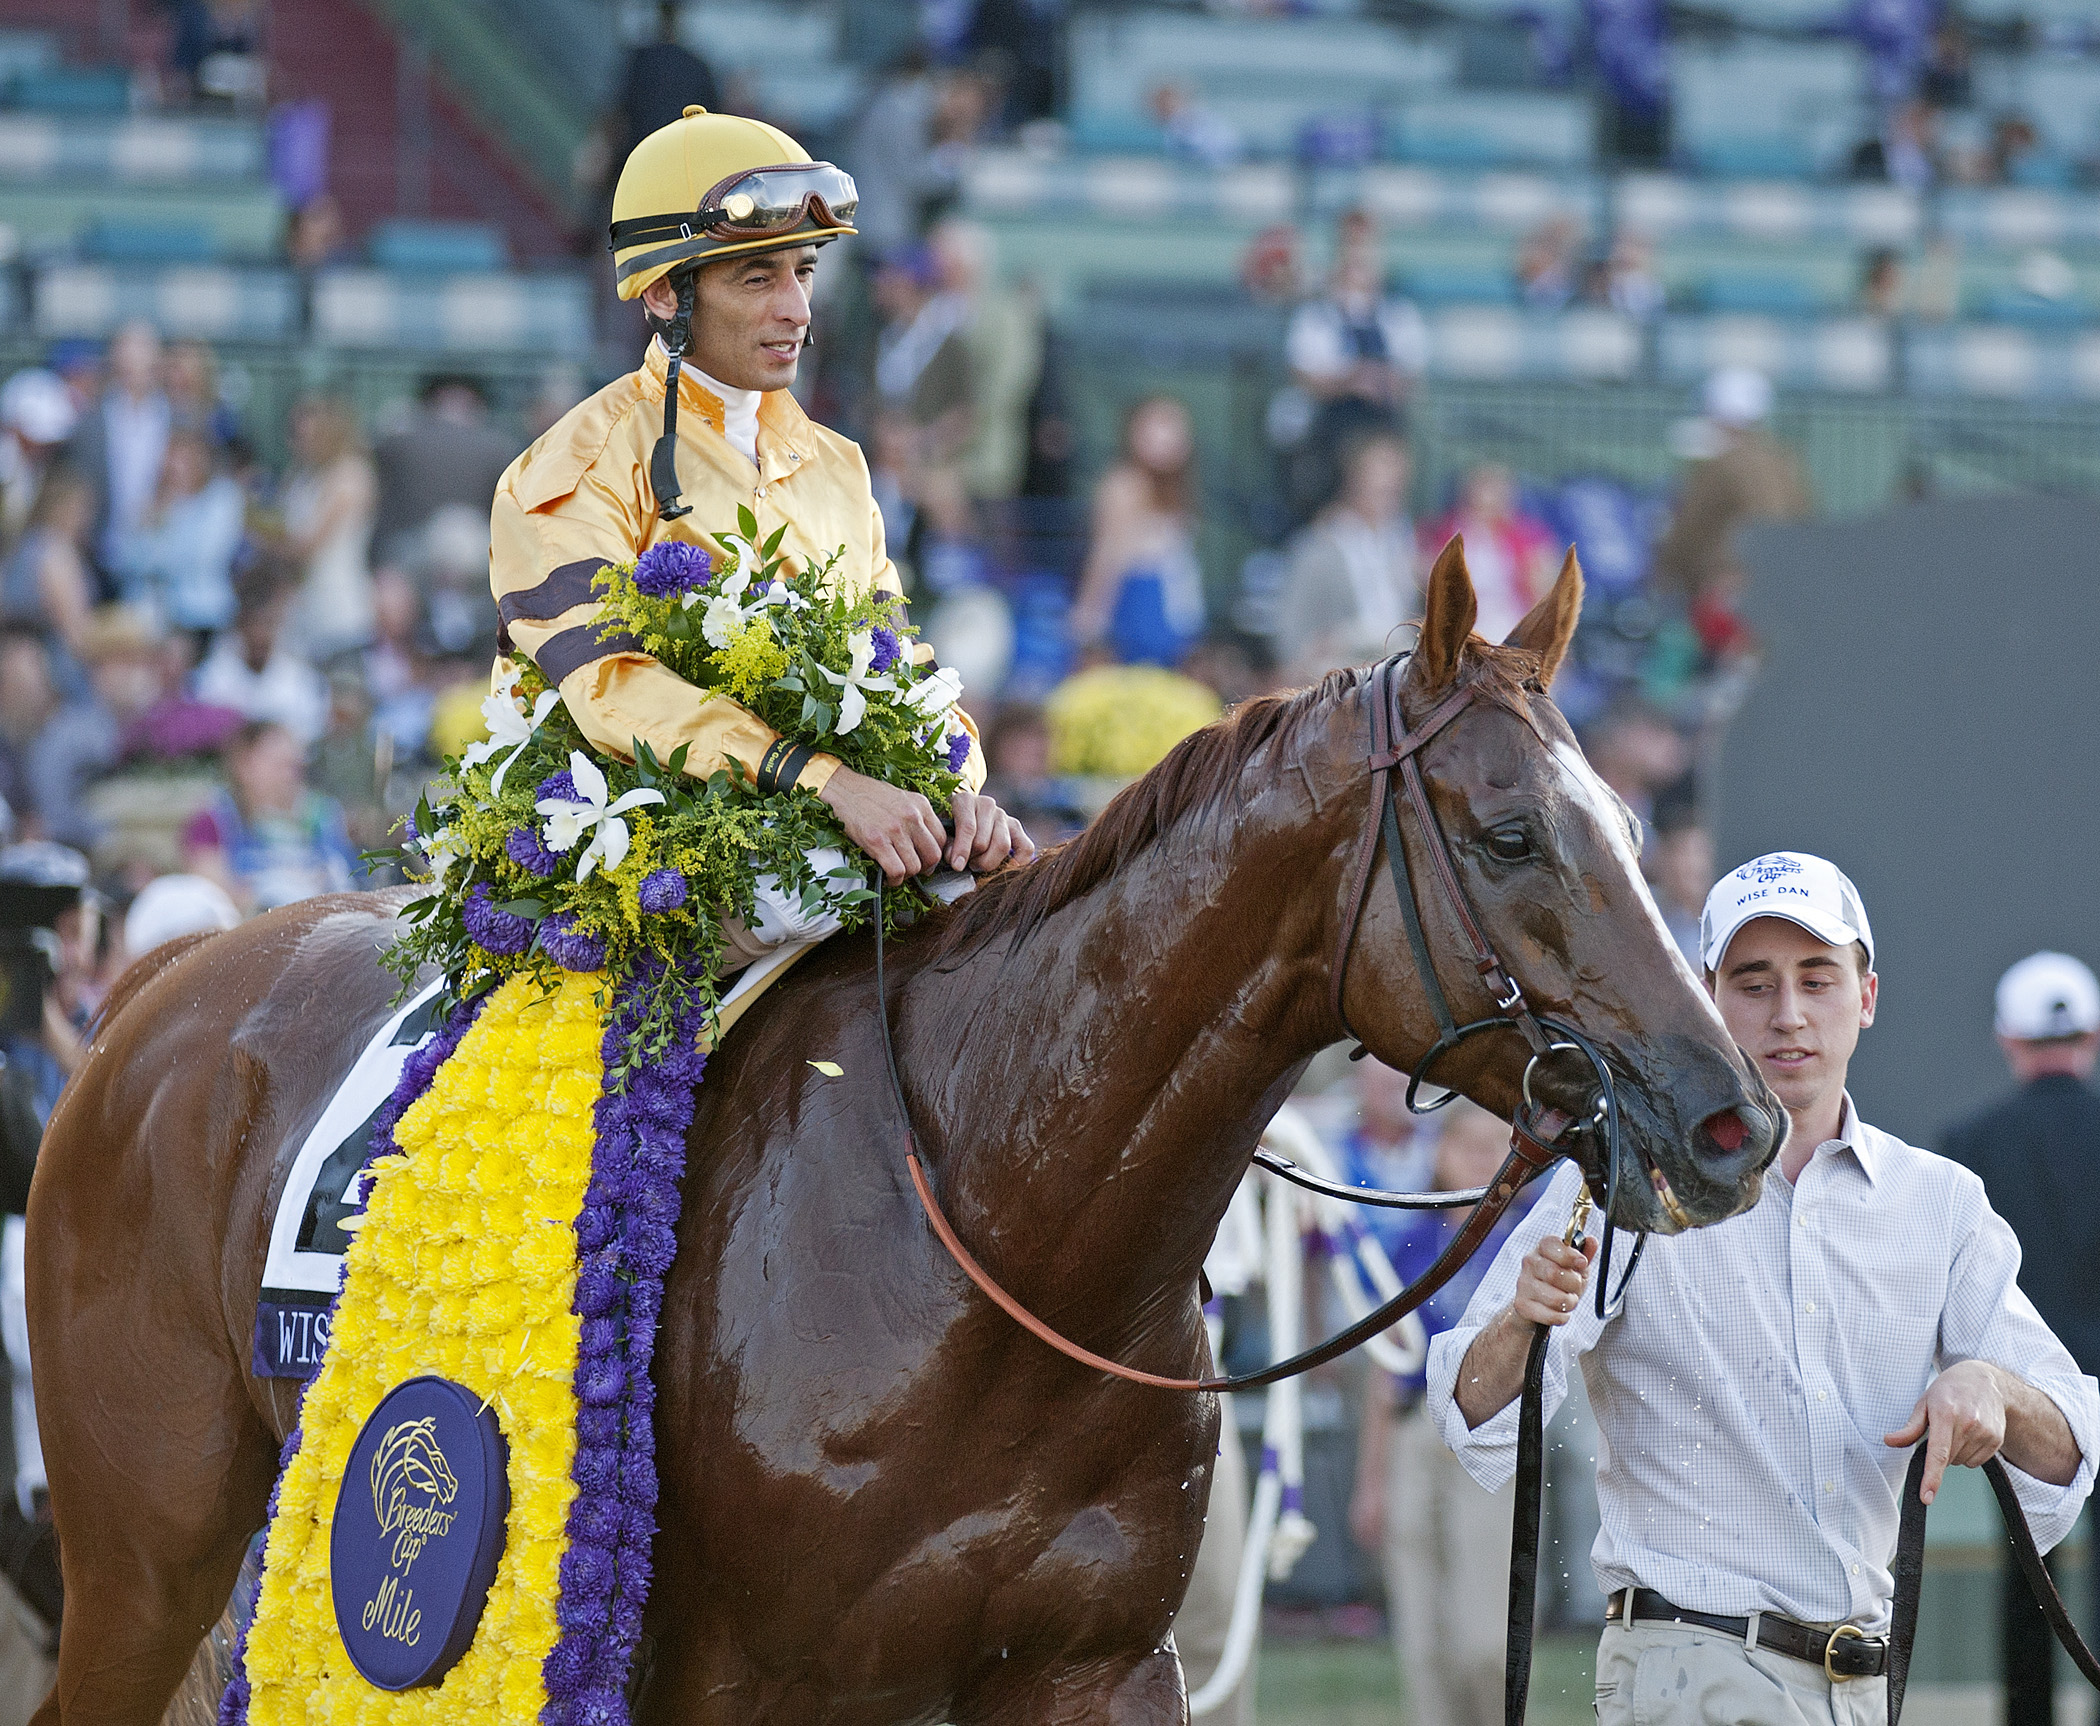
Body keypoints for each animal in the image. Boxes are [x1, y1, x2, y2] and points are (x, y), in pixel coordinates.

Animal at [26, 540, 1780, 1726]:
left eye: (1635, 826)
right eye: (1510, 833)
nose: (1733, 1118)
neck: (1001, 1239)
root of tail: (163, 985)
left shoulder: (1091, 1661)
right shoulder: (734, 1674)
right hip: (143, 1553)